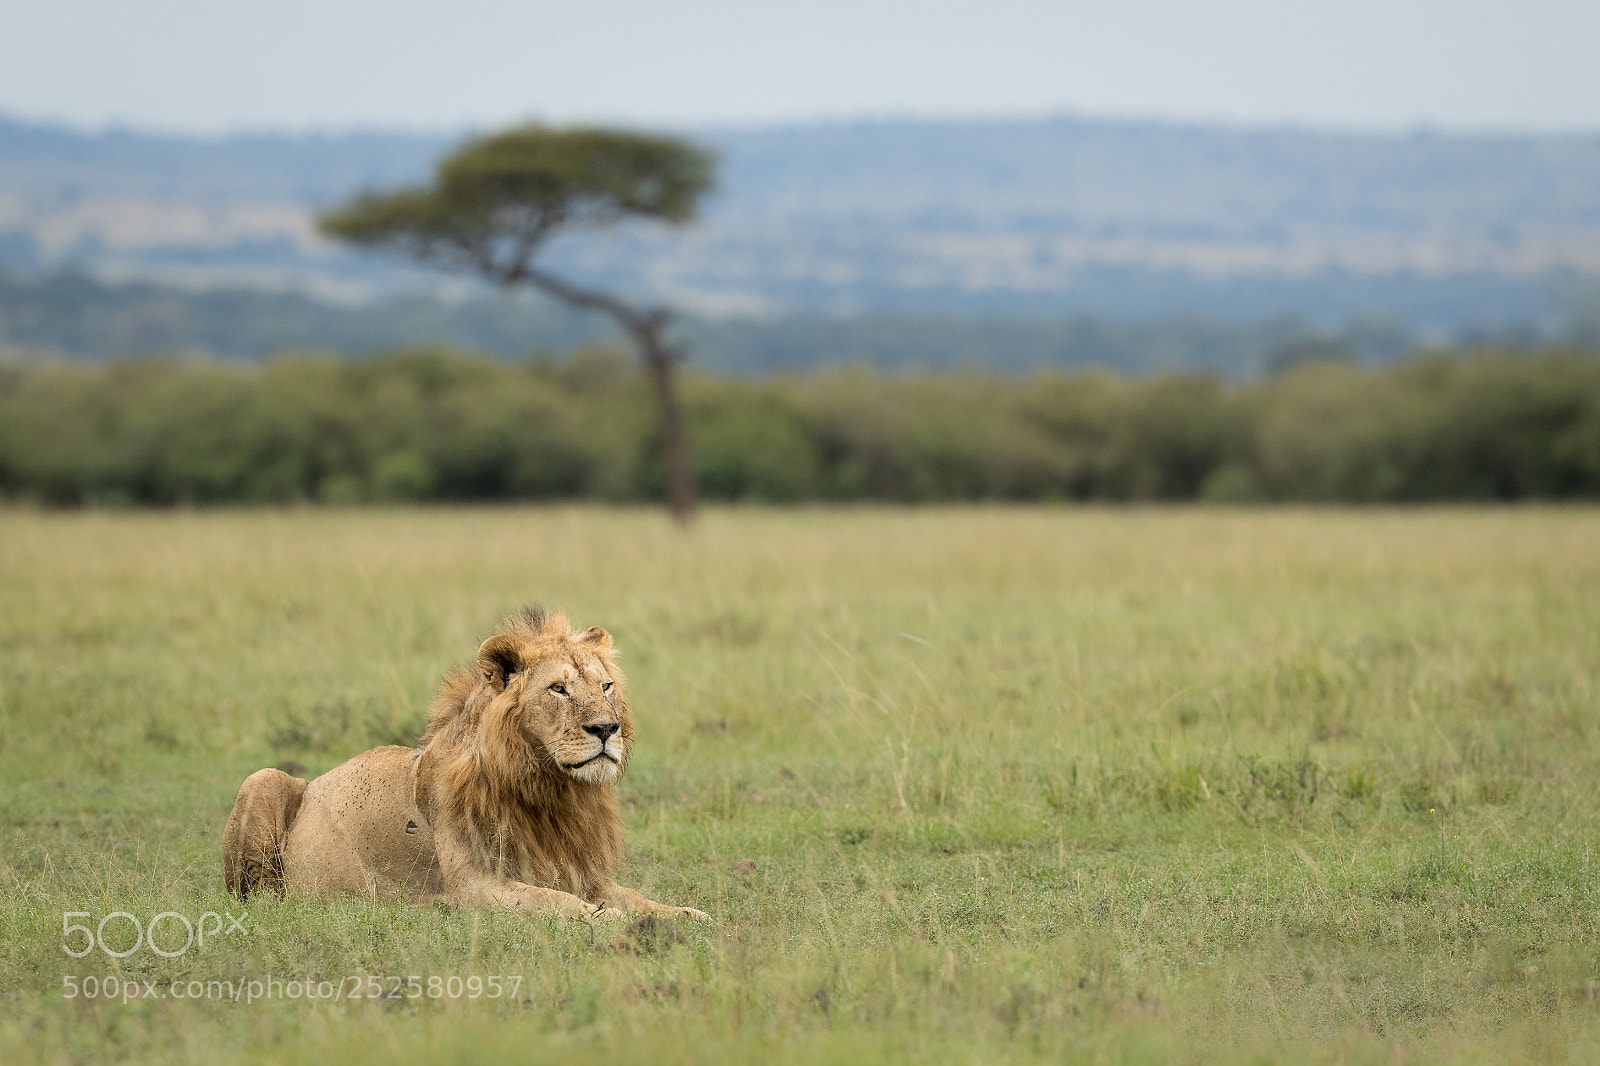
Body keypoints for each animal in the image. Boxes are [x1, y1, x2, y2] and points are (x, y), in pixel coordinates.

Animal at [223, 606, 706, 922]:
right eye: (558, 689)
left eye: (605, 686)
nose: (607, 728)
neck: (550, 789)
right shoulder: (475, 887)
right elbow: (565, 904)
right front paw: (616, 922)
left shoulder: (583, 873)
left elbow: (640, 898)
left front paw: (693, 916)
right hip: (262, 780)